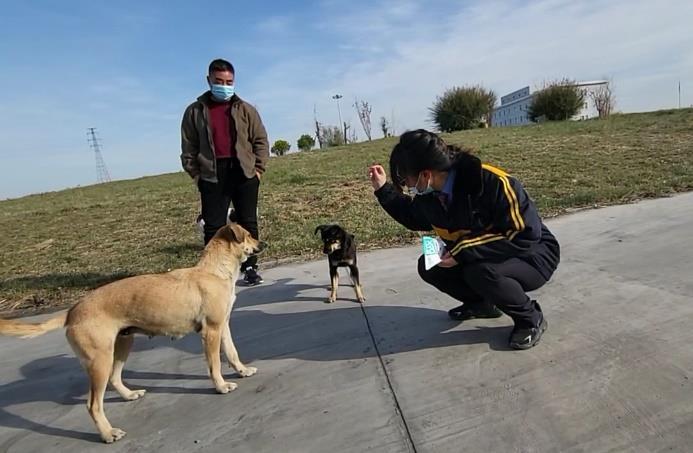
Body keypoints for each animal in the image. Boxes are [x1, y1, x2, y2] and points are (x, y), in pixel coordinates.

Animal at [0, 222, 264, 442]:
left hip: (121, 346)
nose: (263, 244)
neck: (213, 271)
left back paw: (129, 396)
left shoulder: (223, 326)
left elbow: (232, 353)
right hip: (100, 361)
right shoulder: (211, 331)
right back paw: (108, 434)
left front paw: (242, 371)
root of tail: (71, 312)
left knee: (115, 379)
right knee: (93, 404)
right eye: (249, 235)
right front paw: (221, 386)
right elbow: (215, 364)